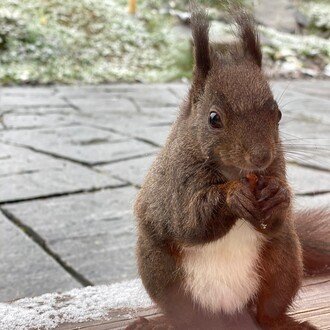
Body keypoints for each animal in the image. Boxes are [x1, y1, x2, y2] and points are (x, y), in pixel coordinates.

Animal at [129, 4, 330, 330]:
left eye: (278, 114)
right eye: (214, 118)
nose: (261, 156)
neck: (235, 173)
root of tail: (228, 309)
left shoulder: (277, 166)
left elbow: (275, 218)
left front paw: (278, 195)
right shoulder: (176, 180)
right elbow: (188, 220)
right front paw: (231, 196)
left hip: (285, 259)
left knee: (268, 310)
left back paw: (284, 322)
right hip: (161, 272)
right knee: (185, 315)